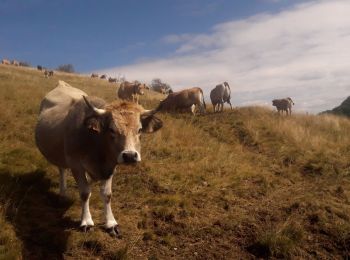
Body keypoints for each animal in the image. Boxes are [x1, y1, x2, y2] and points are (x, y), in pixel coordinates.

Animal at [34, 80, 163, 236]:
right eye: (111, 129)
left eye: (139, 130)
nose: (130, 156)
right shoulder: (75, 164)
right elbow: (84, 193)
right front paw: (86, 221)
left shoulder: (110, 167)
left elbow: (107, 194)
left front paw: (111, 223)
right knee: (62, 169)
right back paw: (63, 193)